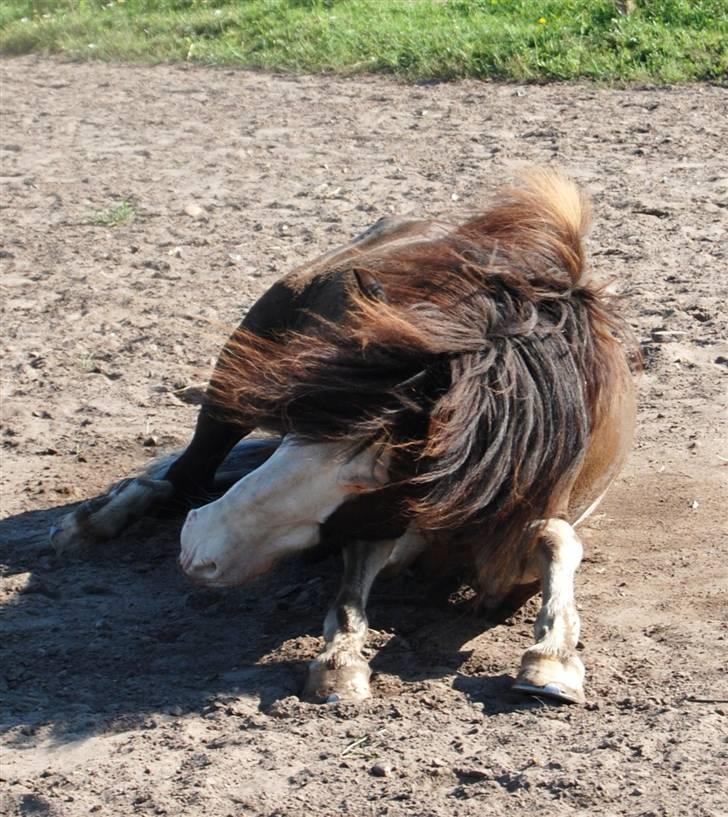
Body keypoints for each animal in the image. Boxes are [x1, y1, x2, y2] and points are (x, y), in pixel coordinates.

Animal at [48, 169, 636, 704]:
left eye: (363, 480)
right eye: (299, 429)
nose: (198, 549)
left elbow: (554, 540)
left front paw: (551, 658)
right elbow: (352, 588)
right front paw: (341, 661)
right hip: (235, 382)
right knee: (185, 476)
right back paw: (92, 522)